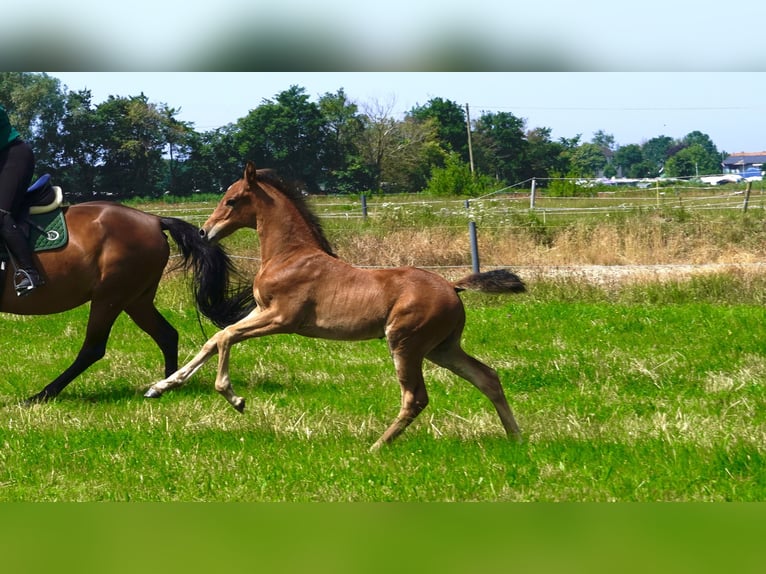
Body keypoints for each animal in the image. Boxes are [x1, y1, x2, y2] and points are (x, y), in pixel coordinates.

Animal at [4, 193, 252, 404]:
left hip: (111, 296)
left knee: (93, 348)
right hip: (136, 300)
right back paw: (166, 384)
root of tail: (154, 220)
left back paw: (42, 395)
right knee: (167, 335)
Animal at [145, 162, 526, 450]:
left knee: (415, 397)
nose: (204, 232)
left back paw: (377, 446)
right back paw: (516, 437)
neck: (289, 255)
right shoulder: (259, 311)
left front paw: (233, 397)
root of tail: (452, 285)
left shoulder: (281, 318)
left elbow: (225, 338)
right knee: (487, 377)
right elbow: (215, 339)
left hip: (405, 343)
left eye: (232, 200)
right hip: (441, 348)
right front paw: (160, 387)